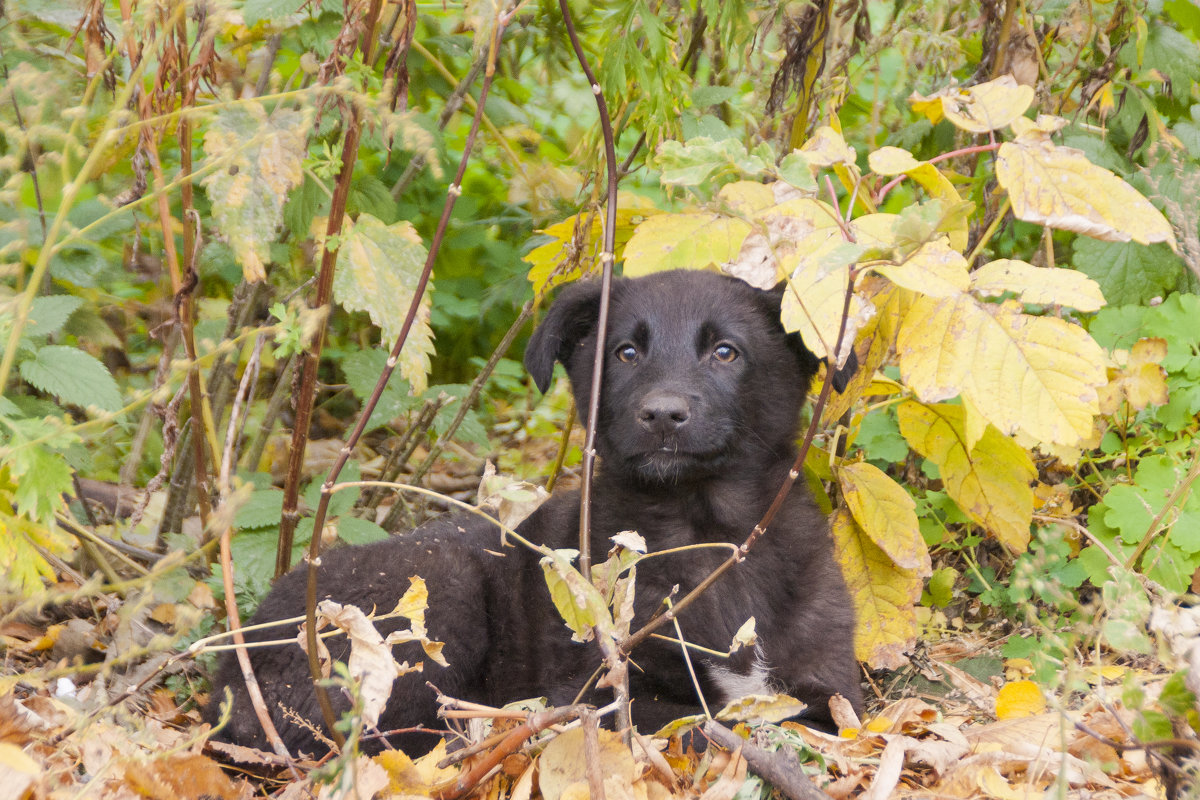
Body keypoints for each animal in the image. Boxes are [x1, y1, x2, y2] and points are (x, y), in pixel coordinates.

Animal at [206, 272, 864, 753]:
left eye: (726, 352)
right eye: (626, 352)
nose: (662, 413)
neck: (703, 529)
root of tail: (230, 680)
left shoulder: (832, 685)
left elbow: (806, 715)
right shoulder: (597, 690)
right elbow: (707, 724)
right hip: (437, 592)